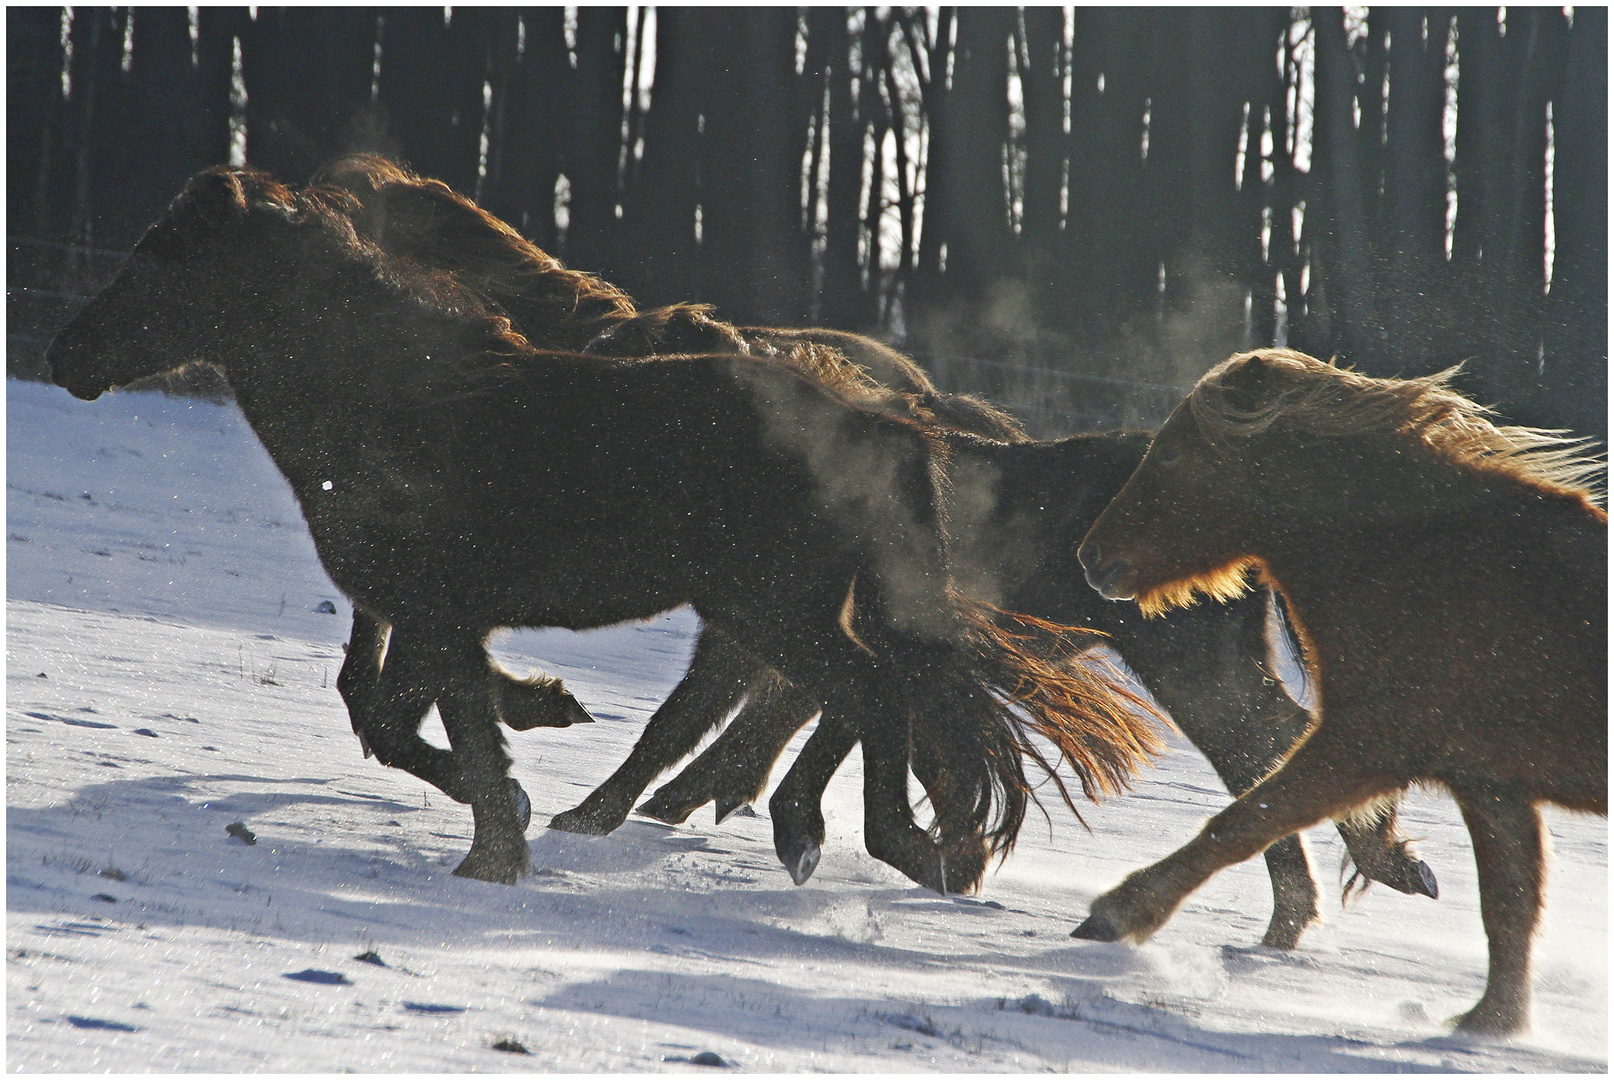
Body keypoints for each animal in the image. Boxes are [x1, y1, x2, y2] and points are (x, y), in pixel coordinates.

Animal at [47, 168, 1162, 891]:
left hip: (776, 607)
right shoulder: (433, 614)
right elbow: (416, 722)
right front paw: (514, 805)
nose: (65, 352)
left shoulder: (436, 611)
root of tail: (892, 418)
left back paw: (874, 843)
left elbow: (427, 725)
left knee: (868, 697)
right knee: (863, 699)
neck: (399, 398)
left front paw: (500, 846)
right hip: (787, 610)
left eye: (159, 255)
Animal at [1078, 347, 1607, 1033]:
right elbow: (1510, 906)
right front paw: (1489, 1024)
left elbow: (1244, 821)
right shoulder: (1490, 783)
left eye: (1170, 455)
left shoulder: (1365, 745)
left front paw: (1116, 915)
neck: (1416, 558)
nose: (1092, 558)